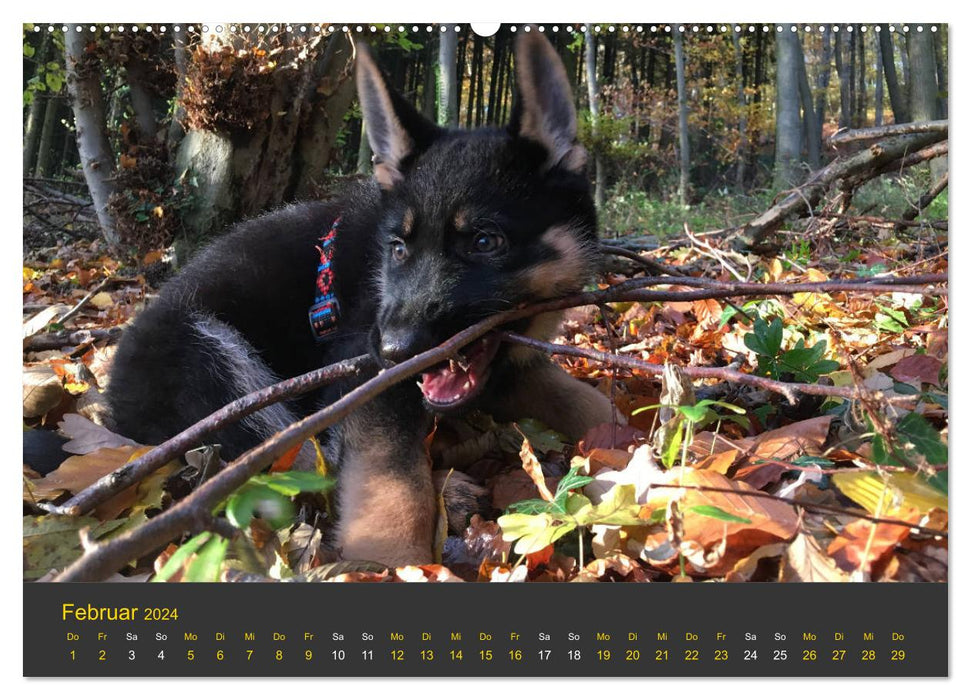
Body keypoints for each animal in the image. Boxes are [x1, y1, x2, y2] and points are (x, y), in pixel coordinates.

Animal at [106, 34, 612, 568]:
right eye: (398, 249)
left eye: (484, 242)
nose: (393, 352)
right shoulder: (363, 372)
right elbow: (392, 480)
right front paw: (391, 564)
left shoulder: (506, 369)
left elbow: (589, 399)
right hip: (214, 364)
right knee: (297, 465)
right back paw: (449, 493)